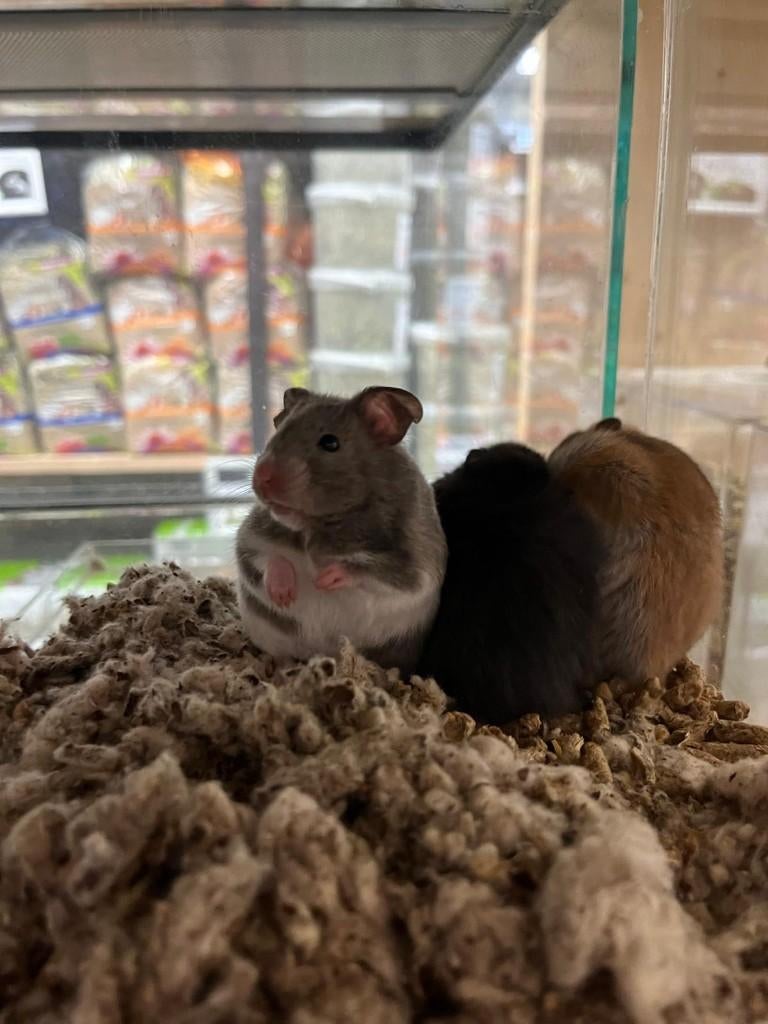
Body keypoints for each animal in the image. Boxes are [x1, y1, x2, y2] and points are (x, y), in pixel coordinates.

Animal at [235, 385, 447, 674]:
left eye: (330, 443)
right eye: (277, 431)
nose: (261, 478)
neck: (316, 525)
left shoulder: (415, 566)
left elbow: (379, 573)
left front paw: (325, 578)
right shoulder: (250, 537)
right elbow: (266, 557)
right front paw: (284, 596)